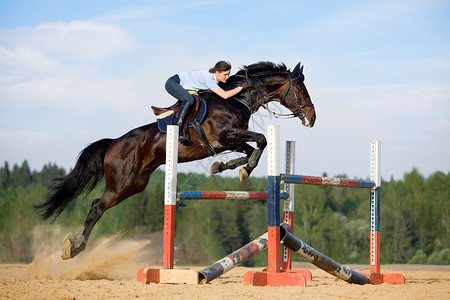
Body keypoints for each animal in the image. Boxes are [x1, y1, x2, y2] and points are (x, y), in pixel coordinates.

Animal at [34, 60, 316, 258]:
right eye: (301, 88)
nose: (312, 118)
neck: (236, 99)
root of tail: (113, 143)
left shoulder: (230, 141)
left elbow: (251, 149)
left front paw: (226, 167)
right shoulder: (227, 136)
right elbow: (262, 140)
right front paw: (240, 169)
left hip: (136, 185)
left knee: (101, 205)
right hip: (121, 183)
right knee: (96, 207)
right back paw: (75, 248)